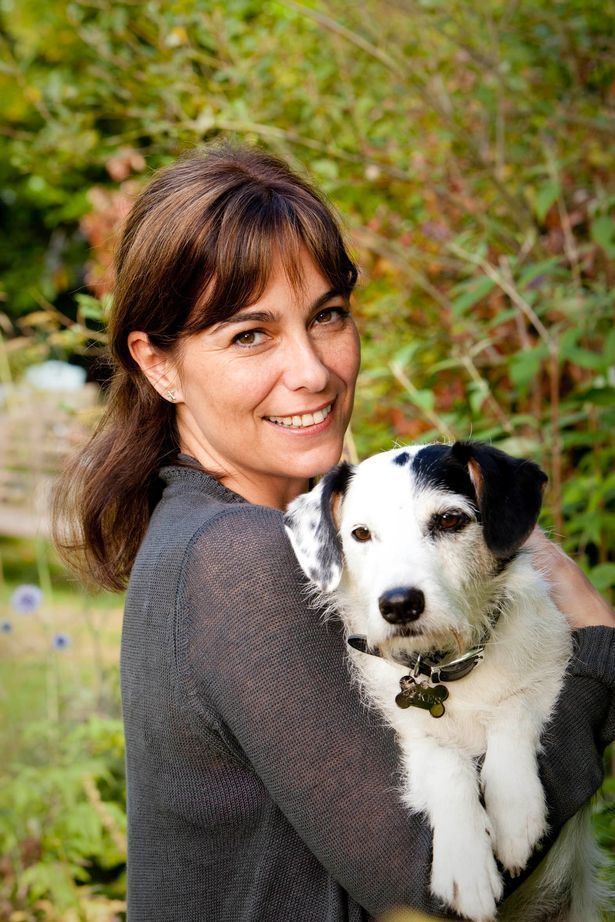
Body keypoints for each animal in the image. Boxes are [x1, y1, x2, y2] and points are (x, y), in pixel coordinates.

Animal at [288, 440, 600, 920]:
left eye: (450, 520)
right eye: (361, 534)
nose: (399, 605)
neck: (448, 666)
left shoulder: (553, 663)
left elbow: (514, 706)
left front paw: (514, 813)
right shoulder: (412, 736)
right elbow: (446, 765)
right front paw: (465, 864)